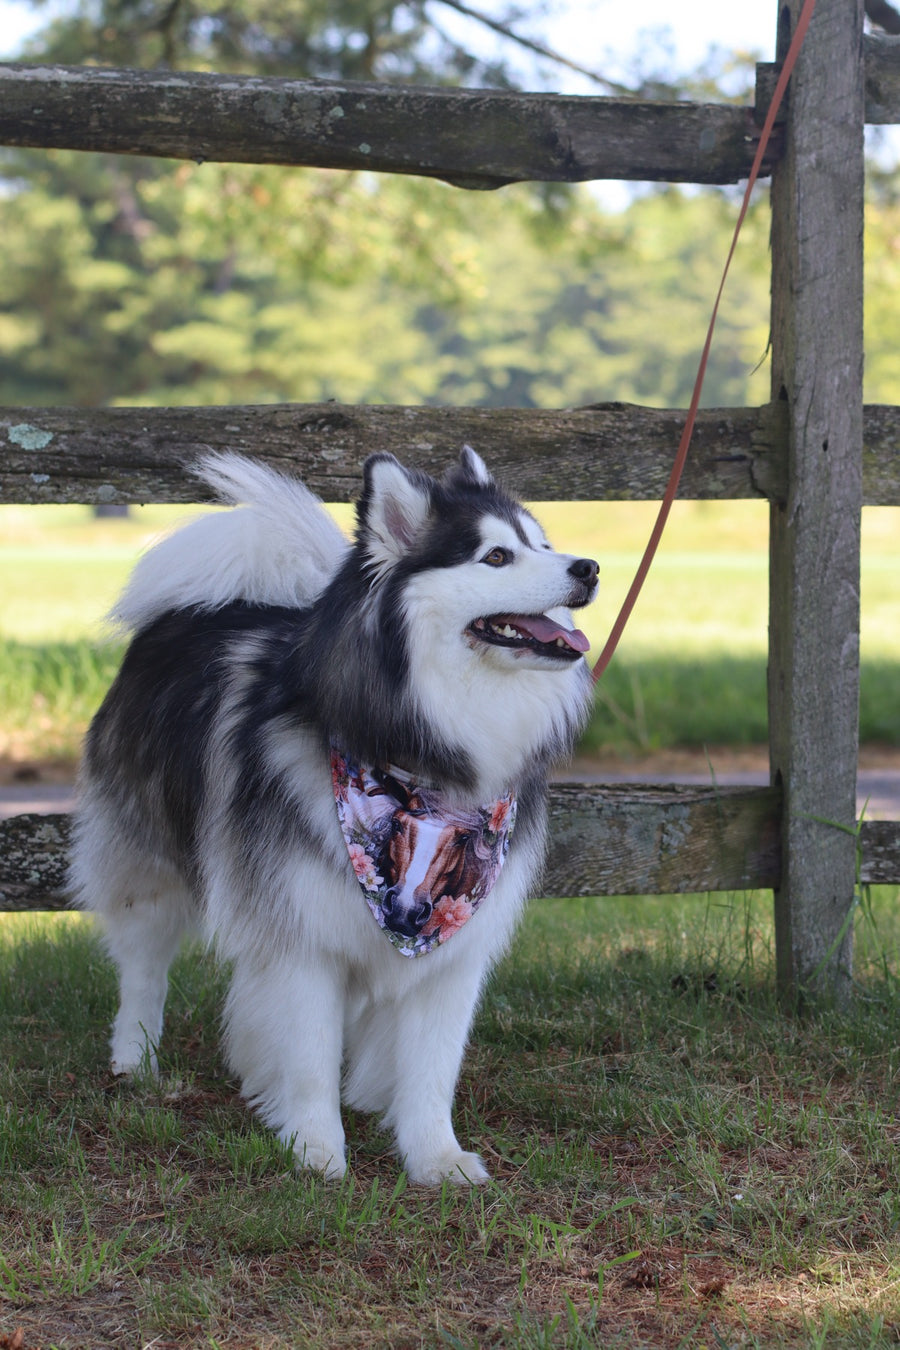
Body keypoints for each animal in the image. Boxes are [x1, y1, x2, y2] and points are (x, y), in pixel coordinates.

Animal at [70, 445, 599, 1182]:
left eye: (542, 544)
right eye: (496, 557)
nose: (589, 568)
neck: (423, 756)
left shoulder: (452, 946)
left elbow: (432, 1065)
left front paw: (435, 1156)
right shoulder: (302, 929)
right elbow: (308, 1052)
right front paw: (316, 1149)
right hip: (150, 866)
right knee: (143, 966)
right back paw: (136, 1059)